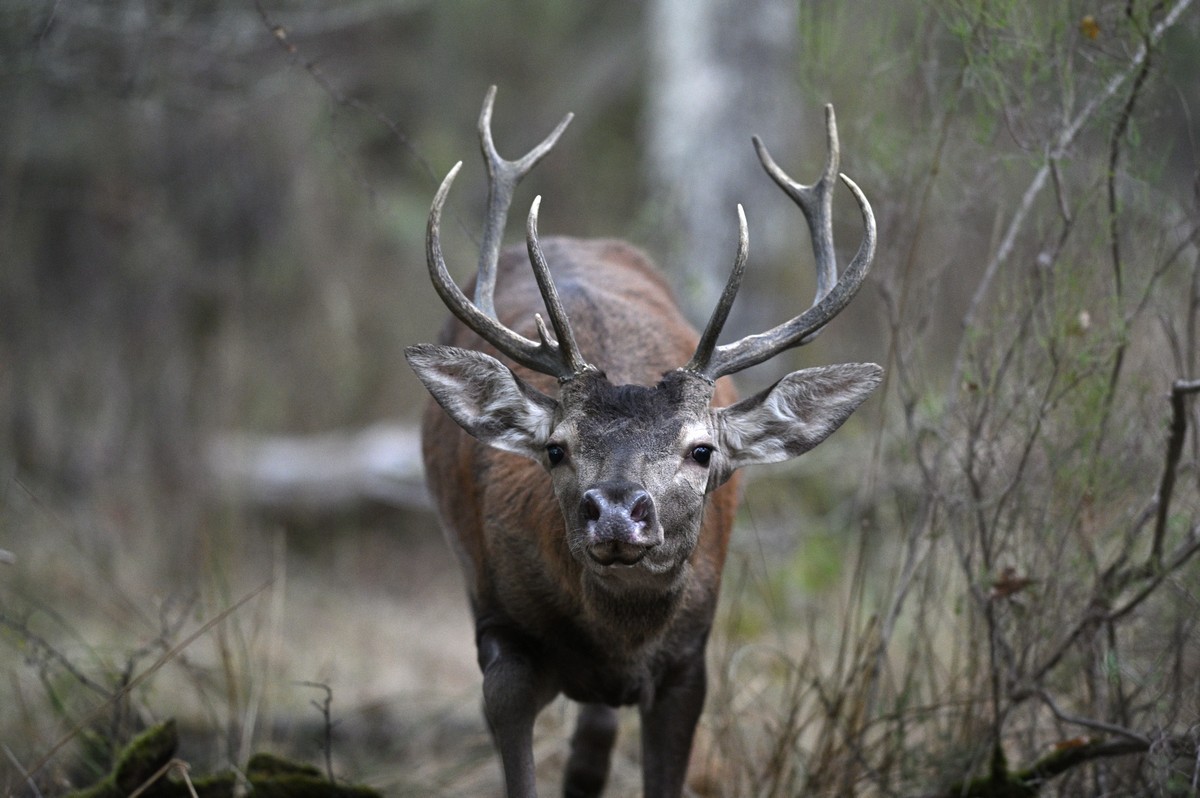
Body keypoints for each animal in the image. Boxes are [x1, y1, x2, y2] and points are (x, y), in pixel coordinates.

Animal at [405, 87, 880, 798]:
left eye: (702, 450)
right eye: (555, 448)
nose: (616, 512)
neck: (618, 639)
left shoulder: (690, 661)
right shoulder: (499, 628)